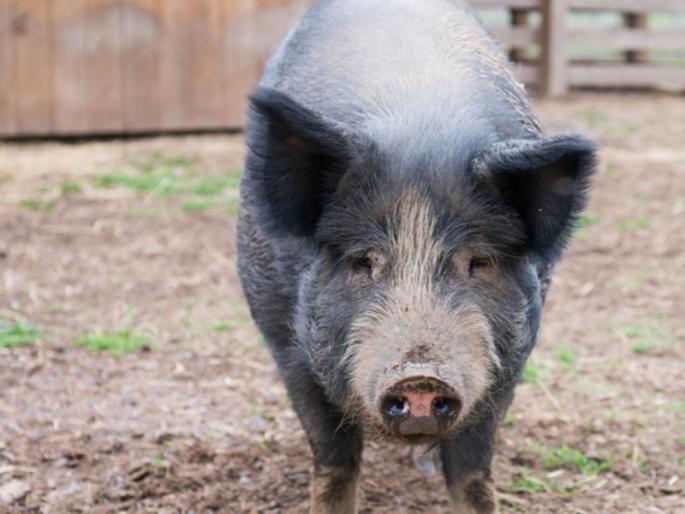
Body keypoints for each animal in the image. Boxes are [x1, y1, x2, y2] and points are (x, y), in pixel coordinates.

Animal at [236, 0, 598, 512]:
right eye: (364, 260)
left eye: (478, 261)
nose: (421, 379)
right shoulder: (285, 345)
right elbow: (334, 459)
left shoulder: (507, 361)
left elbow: (472, 472)